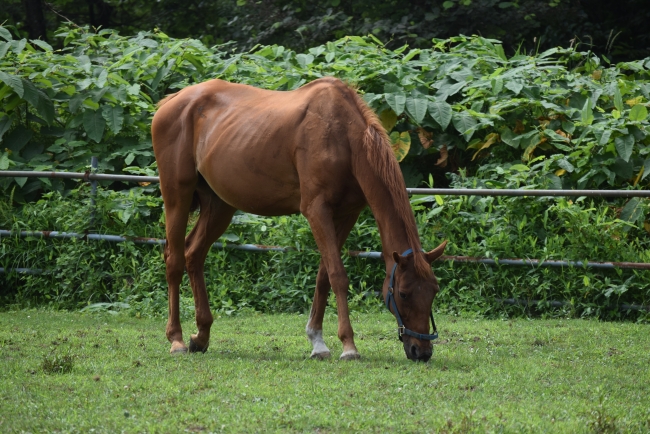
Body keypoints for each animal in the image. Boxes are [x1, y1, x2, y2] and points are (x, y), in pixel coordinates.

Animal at [151, 76, 446, 362]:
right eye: (404, 293)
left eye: (434, 290)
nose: (422, 351)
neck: (343, 136)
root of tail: (172, 102)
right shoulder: (316, 210)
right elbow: (338, 275)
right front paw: (348, 345)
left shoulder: (346, 214)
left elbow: (324, 276)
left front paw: (317, 341)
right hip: (177, 197)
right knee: (174, 260)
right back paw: (176, 339)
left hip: (220, 207)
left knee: (194, 254)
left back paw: (201, 336)